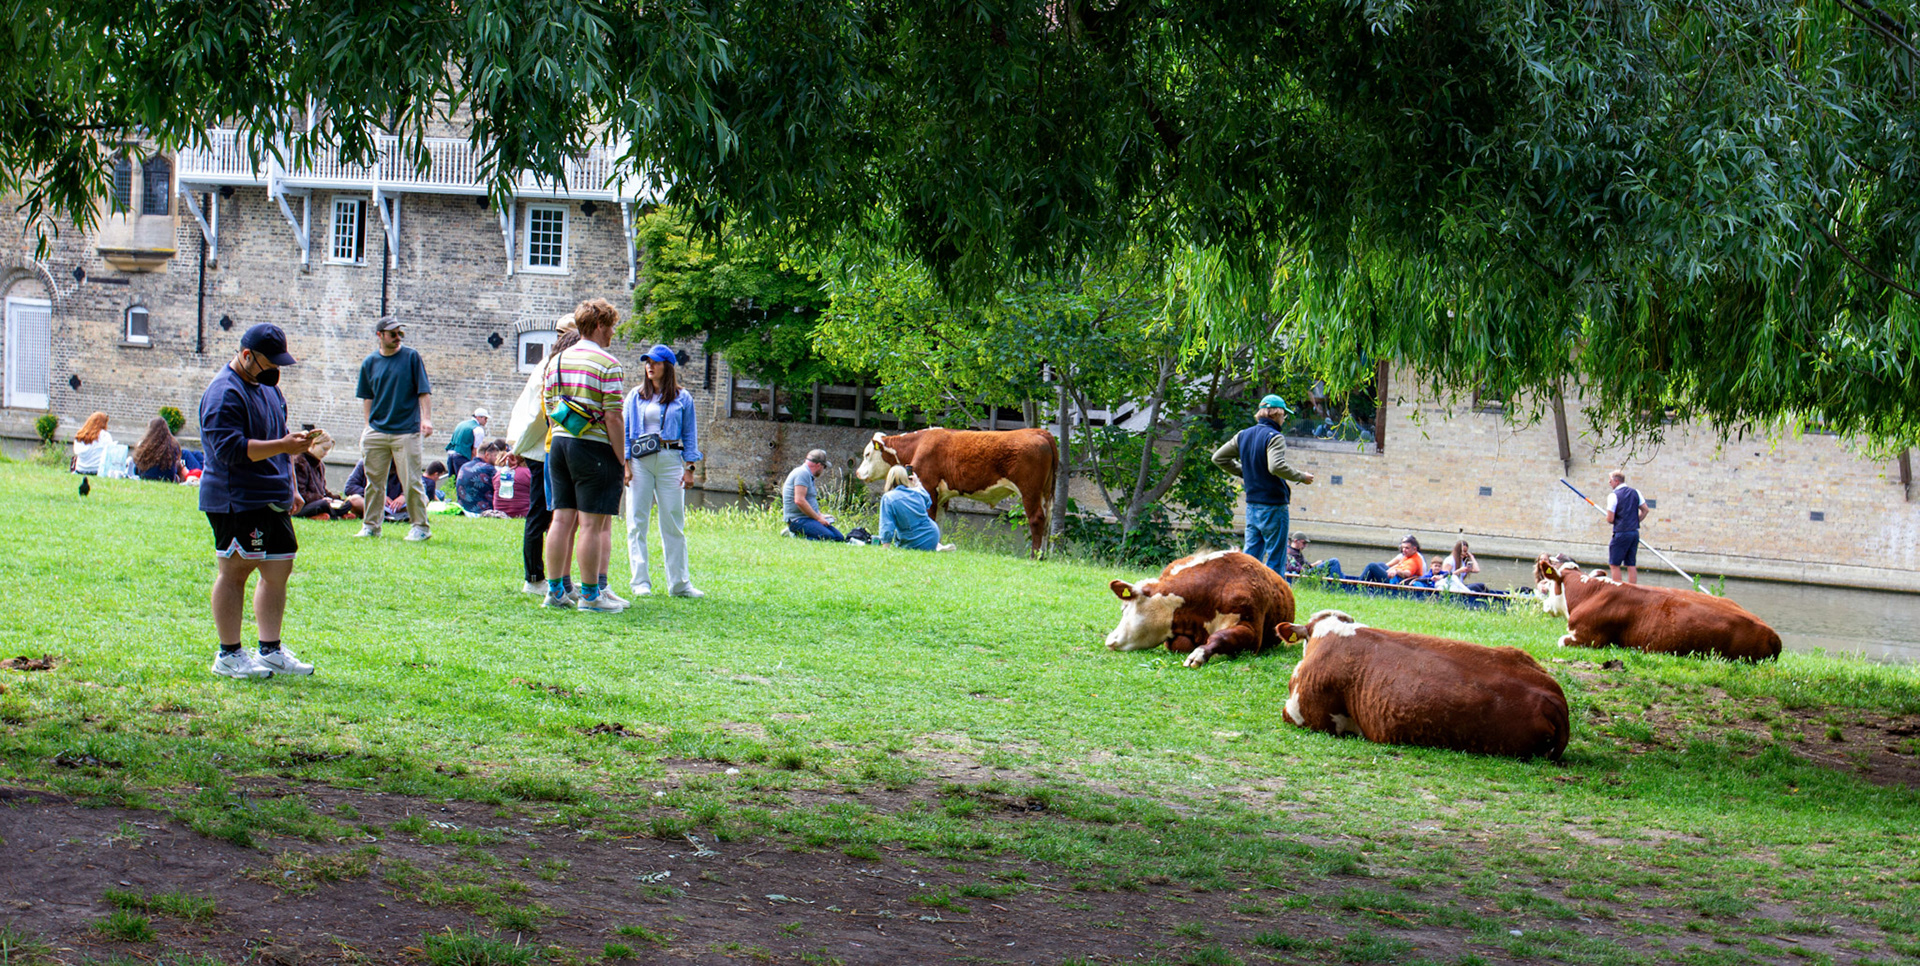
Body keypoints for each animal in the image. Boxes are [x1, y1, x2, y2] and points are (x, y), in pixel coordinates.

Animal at [855, 427, 1058, 553]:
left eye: (867, 454)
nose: (857, 473)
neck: (918, 445)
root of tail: (1038, 431)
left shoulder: (929, 487)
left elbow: (931, 517)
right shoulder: (943, 496)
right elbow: (939, 521)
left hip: (1030, 490)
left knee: (1036, 519)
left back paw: (1034, 556)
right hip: (1046, 493)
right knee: (1047, 523)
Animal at [1105, 550, 1296, 667]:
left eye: (1124, 609)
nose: (1109, 640)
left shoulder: (1252, 633)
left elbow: (1221, 636)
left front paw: (1199, 654)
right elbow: (1178, 643)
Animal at [1534, 554, 1782, 661]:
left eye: (1547, 584)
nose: (1543, 604)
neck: (1590, 592)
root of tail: (1772, 634)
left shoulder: (1587, 638)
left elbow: (1561, 641)